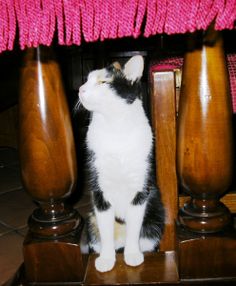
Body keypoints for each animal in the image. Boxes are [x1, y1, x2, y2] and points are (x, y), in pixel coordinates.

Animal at [77, 55, 164, 272]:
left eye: (103, 81)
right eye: (87, 79)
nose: (80, 89)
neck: (115, 128)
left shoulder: (140, 190)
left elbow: (134, 227)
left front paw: (132, 255)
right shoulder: (99, 191)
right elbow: (106, 230)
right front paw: (107, 259)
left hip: (155, 218)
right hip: (91, 220)